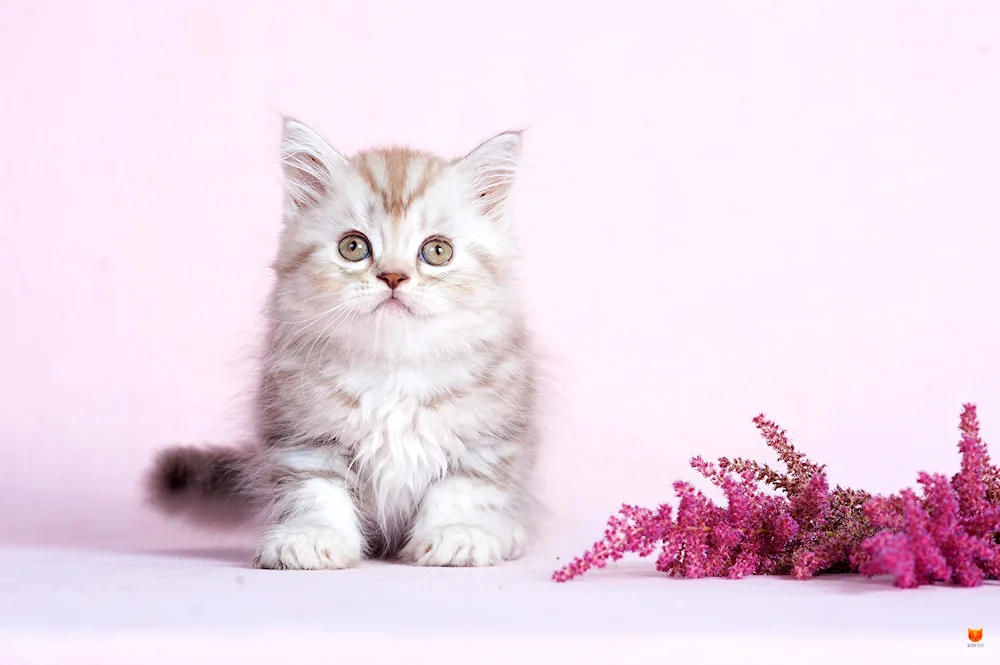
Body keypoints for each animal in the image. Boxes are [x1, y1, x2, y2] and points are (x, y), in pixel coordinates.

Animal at [143, 116, 540, 568]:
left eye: (437, 251)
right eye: (353, 247)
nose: (393, 276)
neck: (393, 369)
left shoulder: (490, 436)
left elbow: (465, 489)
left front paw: (458, 535)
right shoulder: (303, 436)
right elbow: (316, 492)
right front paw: (309, 538)